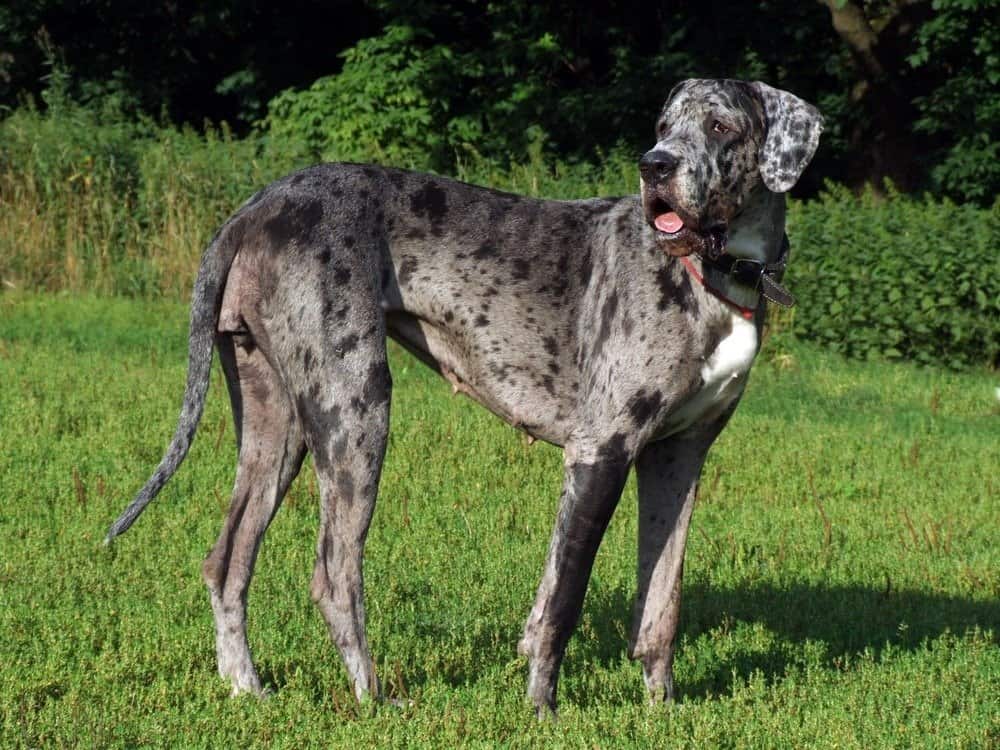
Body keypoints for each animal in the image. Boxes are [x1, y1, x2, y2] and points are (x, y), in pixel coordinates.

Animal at [107, 78, 820, 716]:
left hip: (276, 421)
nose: (655, 165)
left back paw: (245, 689)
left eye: (720, 126)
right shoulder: (601, 451)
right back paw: (374, 699)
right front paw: (543, 711)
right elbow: (563, 601)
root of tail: (254, 207)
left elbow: (660, 604)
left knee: (227, 561)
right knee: (335, 575)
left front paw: (663, 710)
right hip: (356, 410)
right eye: (664, 125)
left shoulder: (677, 458)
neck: (716, 271)